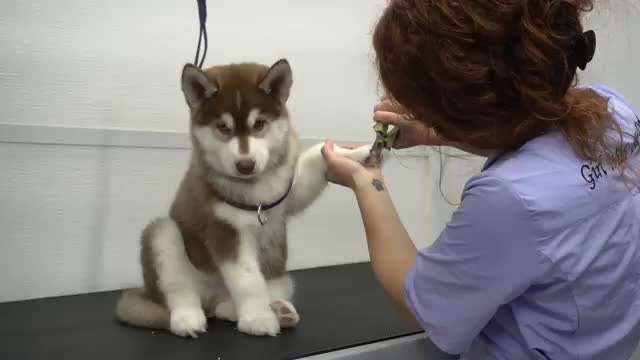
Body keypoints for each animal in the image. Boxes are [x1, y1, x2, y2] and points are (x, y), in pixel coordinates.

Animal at [112, 59, 368, 338]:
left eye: (259, 124)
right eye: (223, 127)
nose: (245, 165)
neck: (256, 186)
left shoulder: (289, 192)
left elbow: (315, 157)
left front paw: (355, 154)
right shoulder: (225, 229)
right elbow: (248, 279)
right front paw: (258, 318)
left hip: (280, 277)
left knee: (227, 305)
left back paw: (273, 309)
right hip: (164, 237)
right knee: (178, 288)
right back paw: (188, 319)